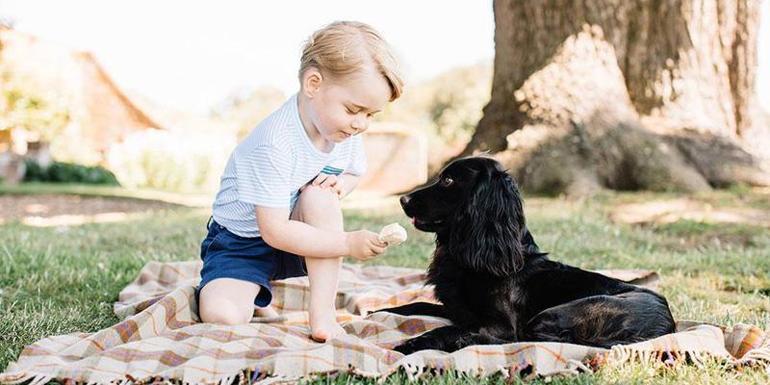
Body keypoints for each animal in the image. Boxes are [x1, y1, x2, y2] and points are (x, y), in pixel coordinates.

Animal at [378, 156, 672, 354]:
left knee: (524, 339)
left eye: (448, 180)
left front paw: (410, 345)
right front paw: (377, 311)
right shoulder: (458, 310)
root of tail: (665, 328)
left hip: (555, 314)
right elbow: (414, 305)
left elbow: (452, 329)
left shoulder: (500, 324)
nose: (403, 199)